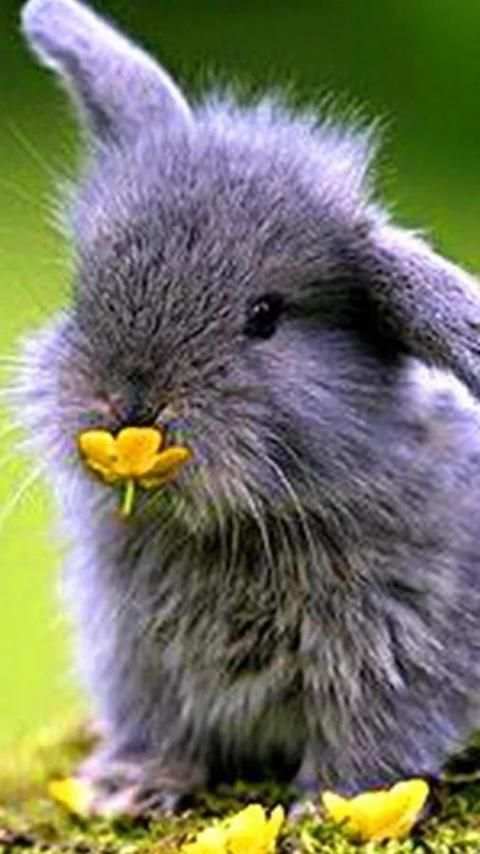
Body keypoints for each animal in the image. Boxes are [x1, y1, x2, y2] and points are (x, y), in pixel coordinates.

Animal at [15, 0, 480, 818]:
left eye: (264, 317)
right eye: (86, 290)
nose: (129, 401)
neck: (227, 529)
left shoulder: (398, 652)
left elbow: (370, 740)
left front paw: (328, 809)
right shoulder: (137, 657)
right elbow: (161, 727)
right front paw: (126, 787)